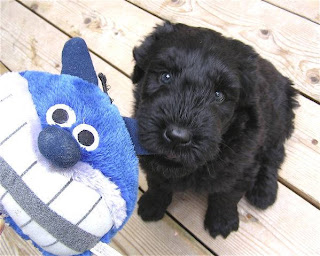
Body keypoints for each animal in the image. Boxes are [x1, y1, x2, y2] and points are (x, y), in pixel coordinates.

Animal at [131, 22, 298, 238]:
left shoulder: (241, 166)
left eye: (219, 95)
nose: (177, 137)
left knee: (274, 154)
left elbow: (226, 195)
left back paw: (264, 191)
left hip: (277, 121)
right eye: (165, 76)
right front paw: (152, 204)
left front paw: (222, 222)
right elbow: (157, 180)